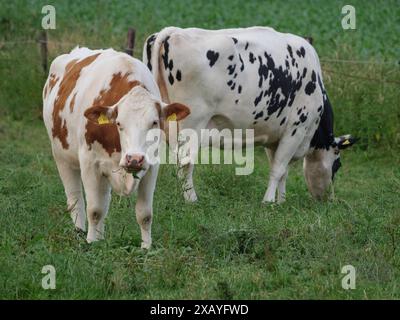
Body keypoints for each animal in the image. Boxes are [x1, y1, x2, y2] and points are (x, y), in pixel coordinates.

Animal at [43, 47, 190, 248]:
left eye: (154, 122)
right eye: (119, 123)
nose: (134, 159)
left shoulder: (152, 166)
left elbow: (144, 214)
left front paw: (146, 247)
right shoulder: (90, 164)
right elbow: (94, 210)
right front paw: (91, 243)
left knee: (103, 200)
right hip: (62, 157)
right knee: (75, 199)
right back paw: (80, 232)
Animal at [142, 27, 354, 202]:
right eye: (337, 165)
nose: (329, 199)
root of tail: (173, 31)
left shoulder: (275, 135)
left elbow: (282, 170)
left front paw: (281, 201)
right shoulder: (296, 129)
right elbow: (278, 169)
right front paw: (268, 202)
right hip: (192, 123)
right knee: (184, 163)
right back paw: (191, 200)